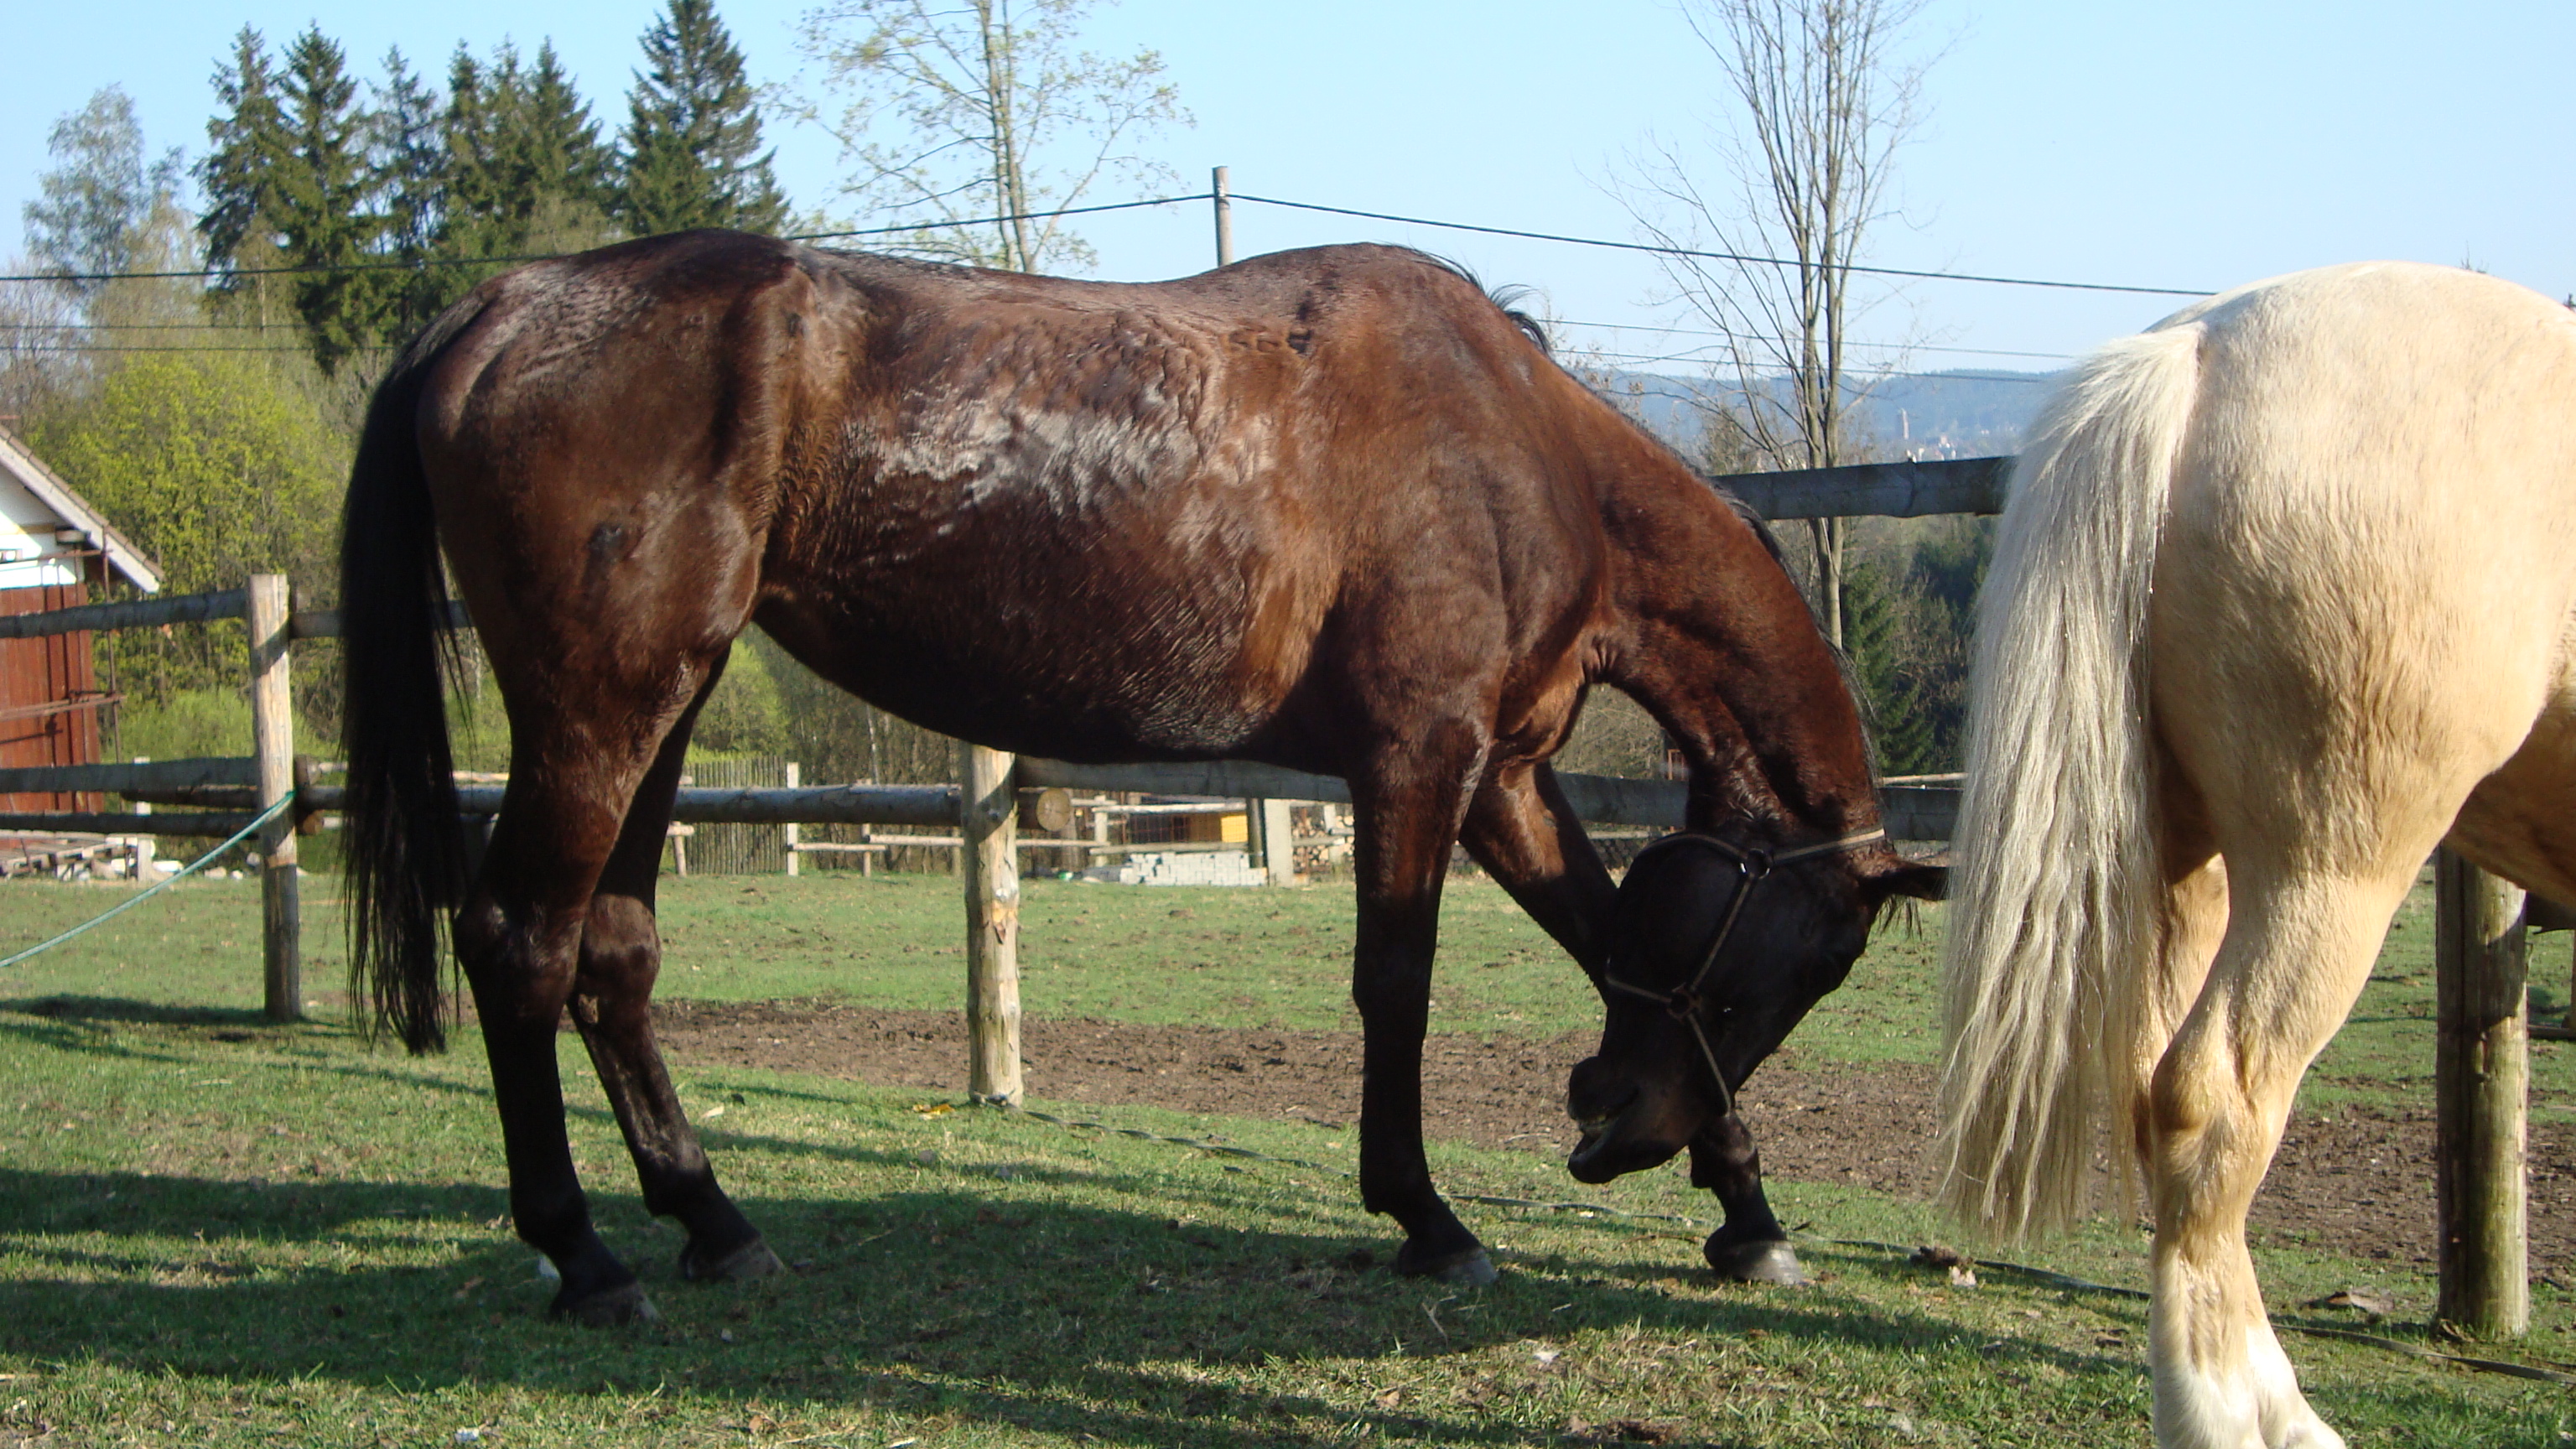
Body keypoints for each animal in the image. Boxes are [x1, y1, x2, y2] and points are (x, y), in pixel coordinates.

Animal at [342, 228, 1937, 1320]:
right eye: (1806, 969)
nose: (1610, 1121)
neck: (1516, 448)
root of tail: (506, 306)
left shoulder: (1505, 778)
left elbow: (1611, 943)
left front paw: (1748, 1210)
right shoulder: (1421, 759)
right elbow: (1397, 987)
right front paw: (1425, 1216)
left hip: (664, 706)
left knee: (610, 953)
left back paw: (711, 1220)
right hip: (603, 711)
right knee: (523, 942)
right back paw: (584, 1253)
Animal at [1937, 262, 2565, 1443]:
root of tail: (2194, 355)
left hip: (2190, 865)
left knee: (2155, 1098)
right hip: (2328, 873)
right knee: (2211, 1102)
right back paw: (2231, 1411)